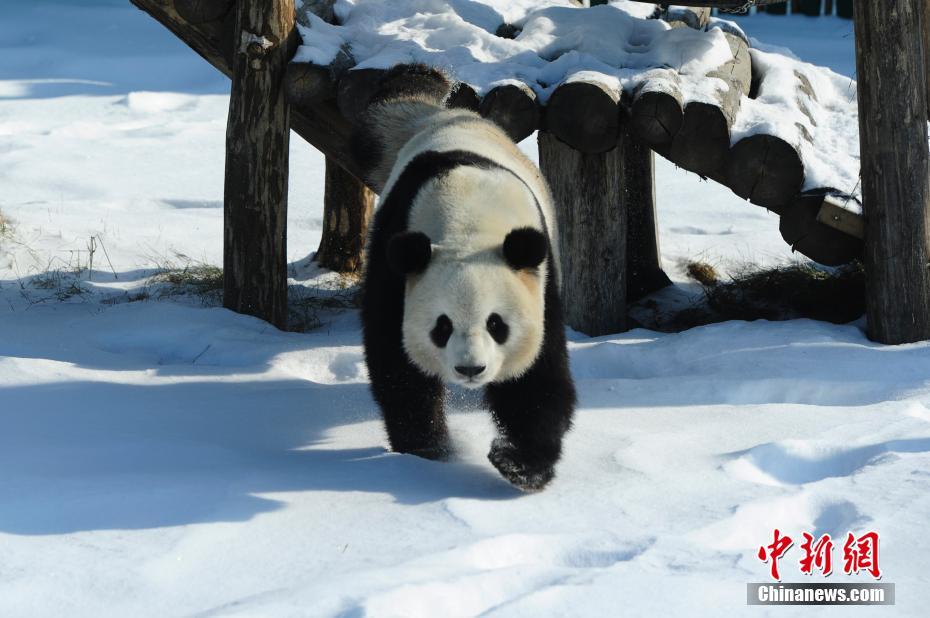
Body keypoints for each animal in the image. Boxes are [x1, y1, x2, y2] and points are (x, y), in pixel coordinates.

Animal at [354, 66, 572, 490]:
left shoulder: (539, 277)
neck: (468, 220)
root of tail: (445, 117)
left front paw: (520, 464)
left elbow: (537, 374)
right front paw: (430, 450)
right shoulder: (397, 256)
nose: (470, 370)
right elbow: (398, 362)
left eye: (496, 324)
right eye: (442, 326)